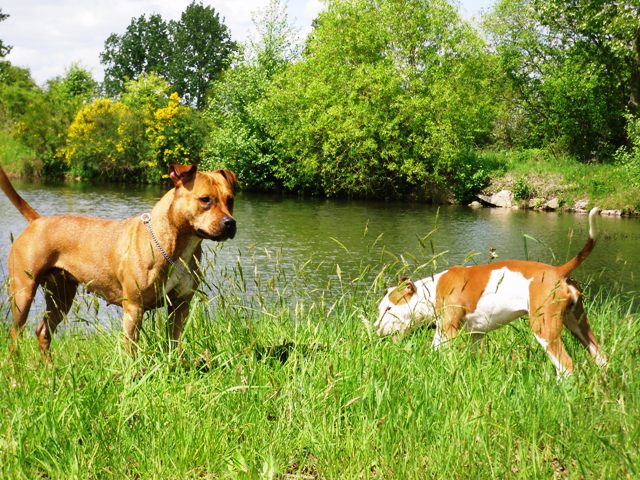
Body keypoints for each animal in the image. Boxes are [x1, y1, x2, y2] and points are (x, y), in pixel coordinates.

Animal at [1, 163, 236, 358]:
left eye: (230, 199)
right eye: (205, 199)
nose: (230, 223)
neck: (176, 247)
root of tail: (37, 220)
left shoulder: (180, 305)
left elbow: (174, 344)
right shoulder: (133, 307)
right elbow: (131, 349)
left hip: (61, 295)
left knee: (43, 331)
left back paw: (50, 370)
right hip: (23, 292)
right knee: (15, 335)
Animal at [376, 208, 604, 376]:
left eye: (389, 309)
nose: (375, 330)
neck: (431, 290)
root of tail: (558, 271)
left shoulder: (447, 331)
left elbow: (436, 351)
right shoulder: (476, 335)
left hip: (545, 328)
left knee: (566, 366)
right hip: (578, 324)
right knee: (601, 357)